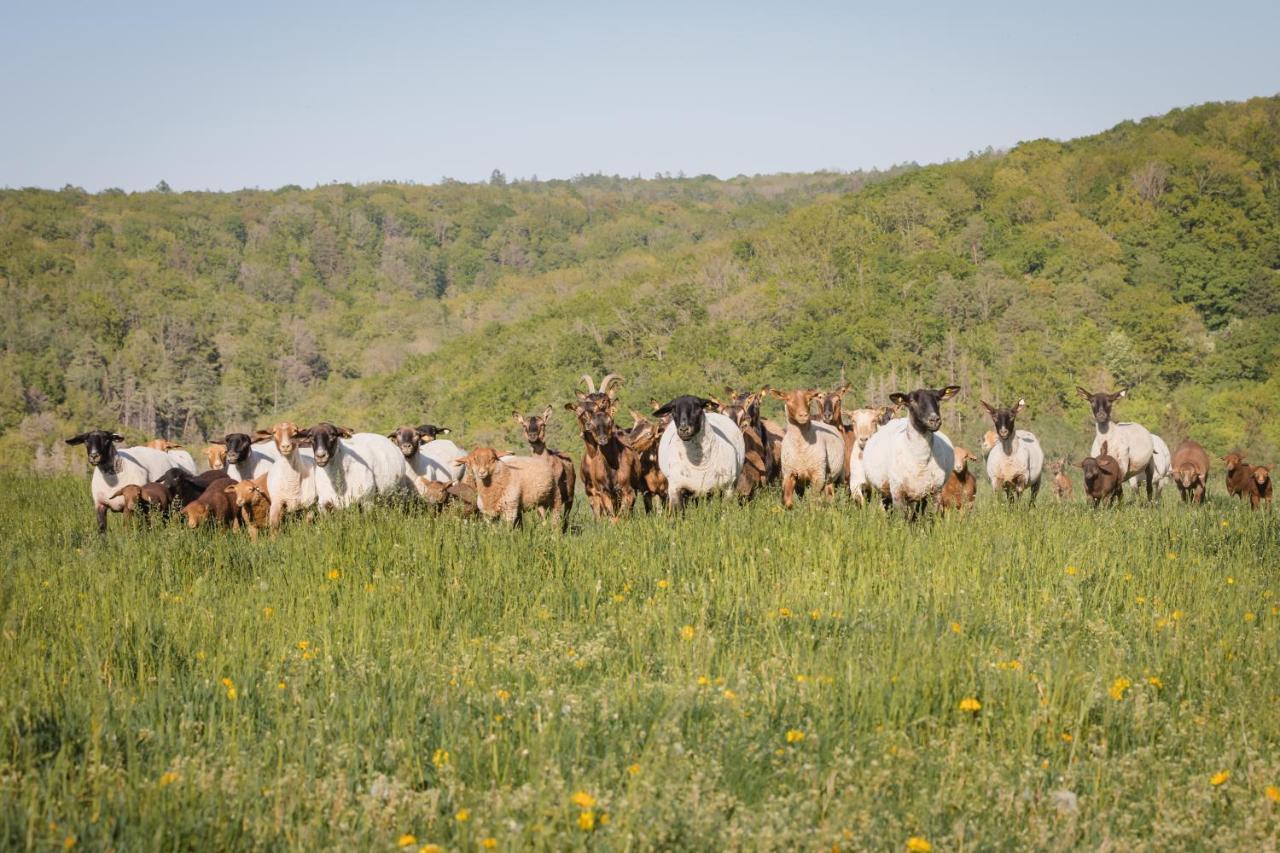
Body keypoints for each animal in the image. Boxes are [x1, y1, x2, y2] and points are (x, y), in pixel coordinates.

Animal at [860, 381, 962, 514]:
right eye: (912, 400)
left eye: (938, 399)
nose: (934, 420)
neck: (920, 460)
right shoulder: (897, 492)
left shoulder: (936, 492)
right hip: (884, 490)